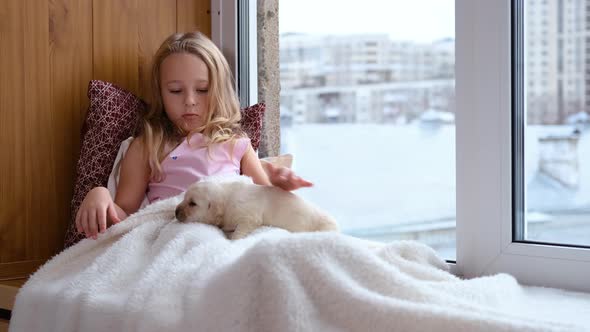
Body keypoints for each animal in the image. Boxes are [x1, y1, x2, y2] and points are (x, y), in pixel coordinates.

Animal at [176, 178, 340, 240]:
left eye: (192, 203)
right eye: (184, 198)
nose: (176, 212)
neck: (226, 201)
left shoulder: (249, 217)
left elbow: (239, 231)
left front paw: (233, 239)